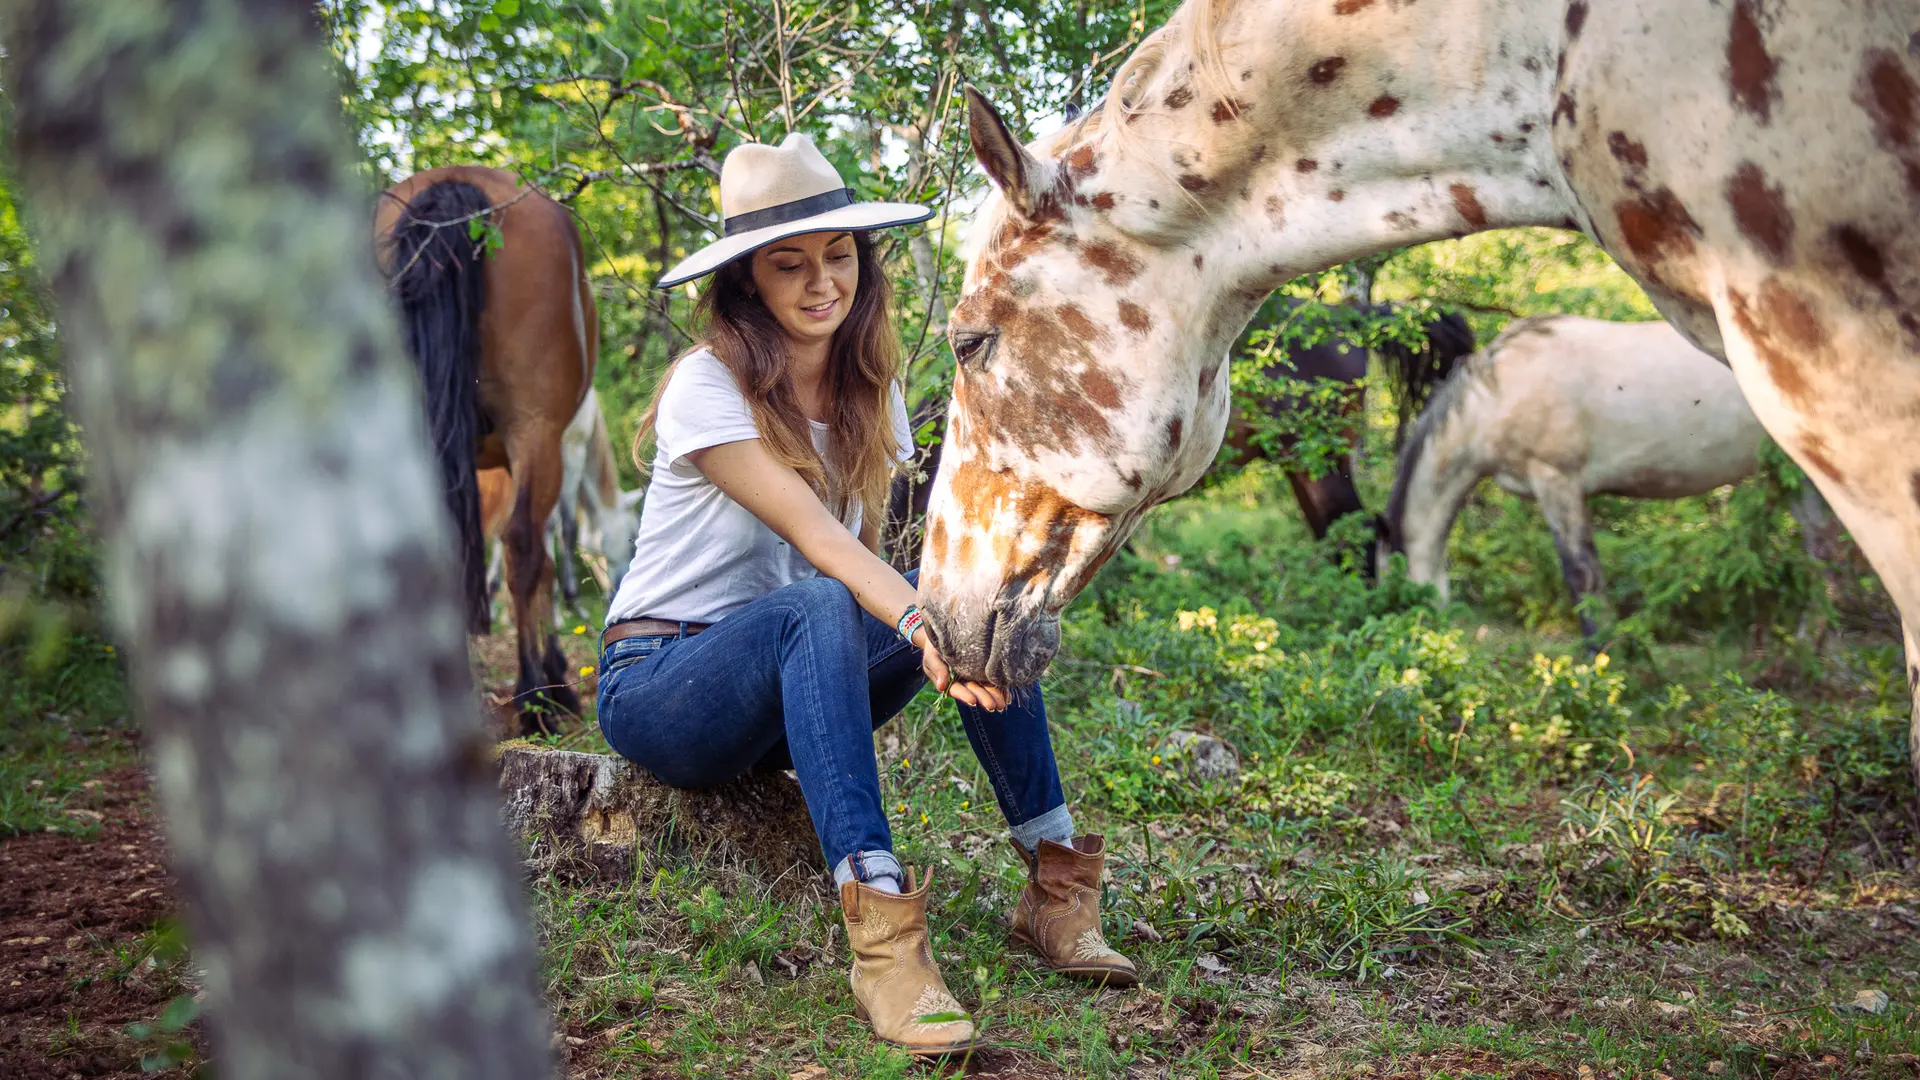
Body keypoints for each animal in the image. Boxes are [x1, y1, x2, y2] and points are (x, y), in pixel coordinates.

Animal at [368, 164, 591, 730]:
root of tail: (452, 181)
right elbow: (543, 559)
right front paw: (554, 677)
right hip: (535, 431)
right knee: (523, 547)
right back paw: (534, 698)